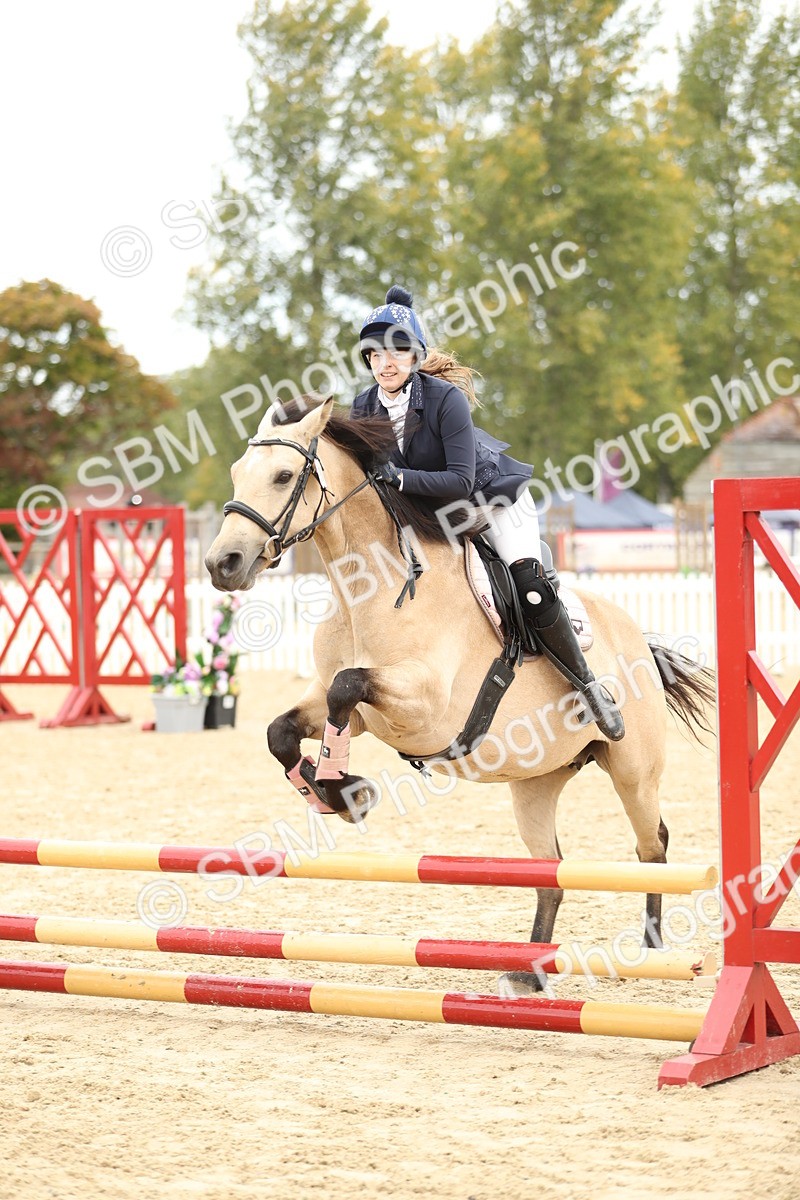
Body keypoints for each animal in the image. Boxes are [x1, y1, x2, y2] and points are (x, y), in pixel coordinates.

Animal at [205, 393, 714, 994]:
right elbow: (284, 729)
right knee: (552, 872)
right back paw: (528, 975)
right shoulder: (356, 713)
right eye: (238, 472)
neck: (367, 590)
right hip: (536, 785)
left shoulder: (421, 705)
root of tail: (638, 640)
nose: (222, 564)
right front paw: (339, 793)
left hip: (633, 769)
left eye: (284, 476)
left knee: (651, 842)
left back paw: (652, 947)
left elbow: (345, 688)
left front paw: (343, 786)